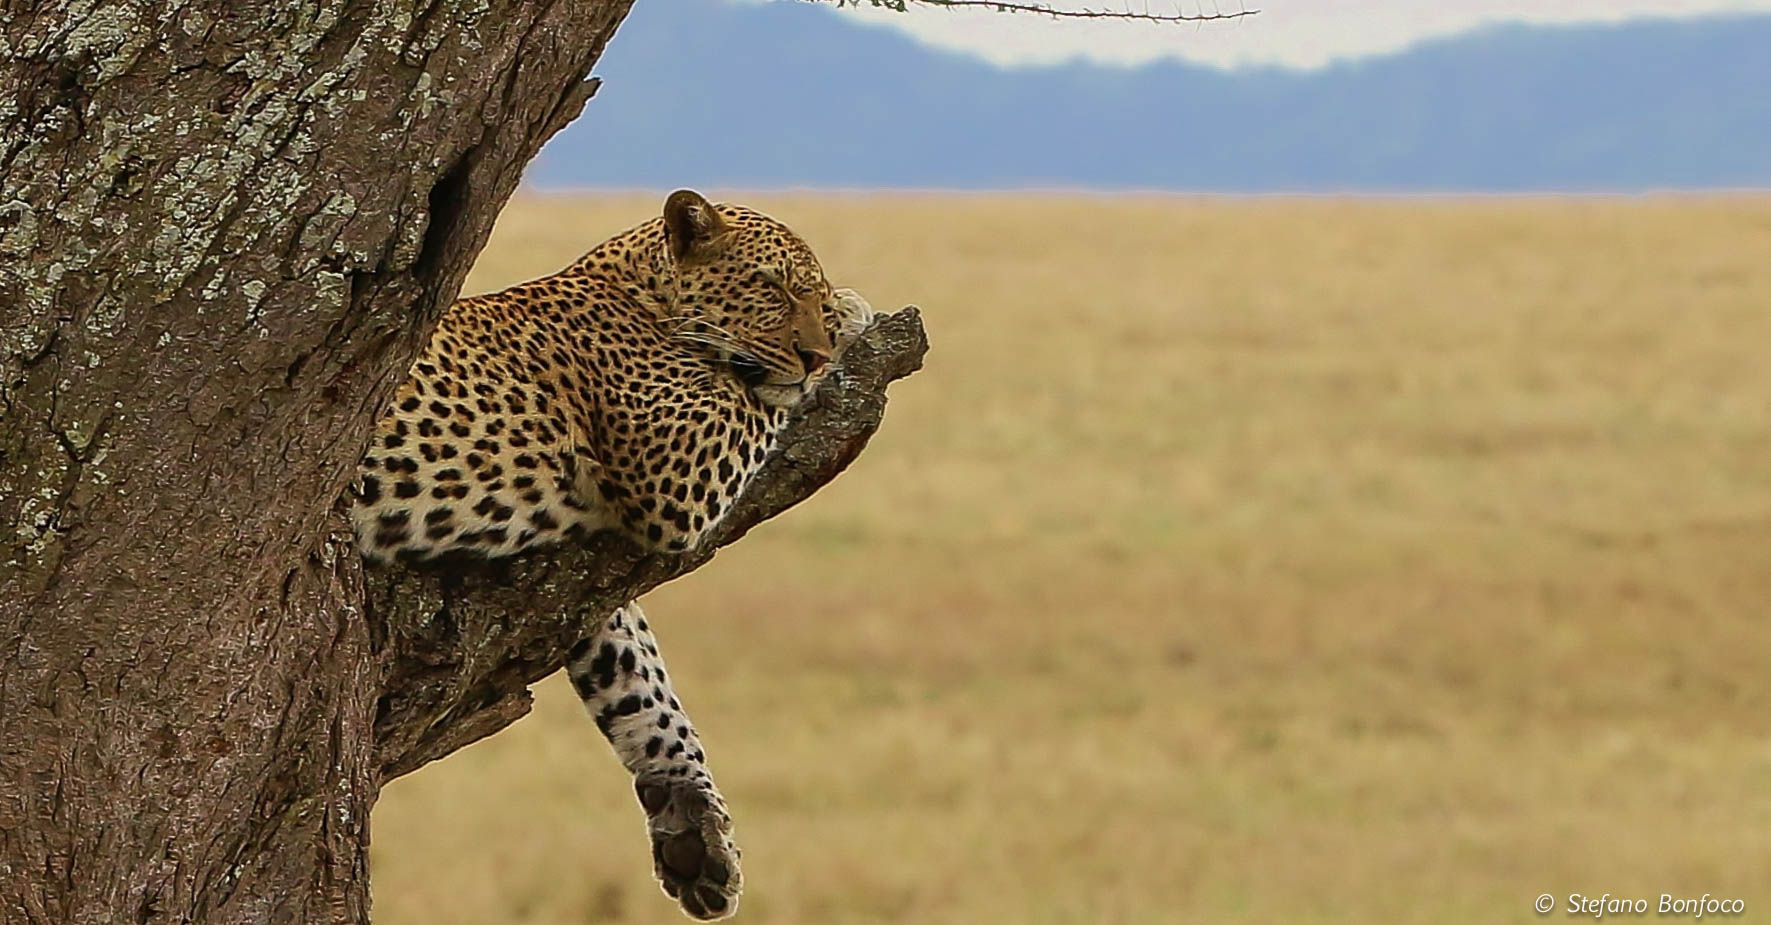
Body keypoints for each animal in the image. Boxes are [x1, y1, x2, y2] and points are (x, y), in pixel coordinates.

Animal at [348, 190, 876, 921]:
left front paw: (693, 824)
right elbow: (759, 395)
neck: (637, 288)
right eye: (771, 287)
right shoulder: (679, 469)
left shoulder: (580, 577)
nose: (815, 357)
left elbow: (639, 675)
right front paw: (851, 313)